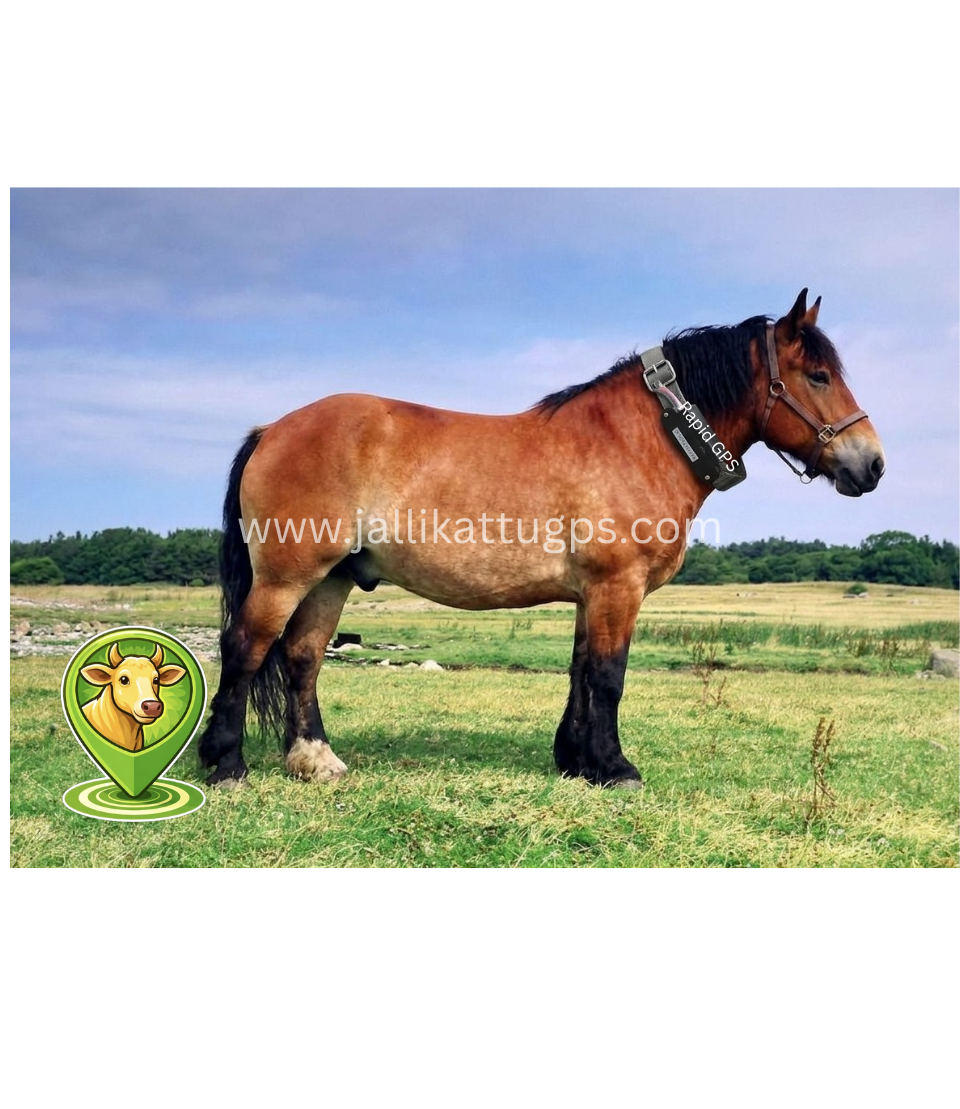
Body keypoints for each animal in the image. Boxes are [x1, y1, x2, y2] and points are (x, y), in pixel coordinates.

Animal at [198, 289, 884, 789]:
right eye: (818, 376)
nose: (872, 464)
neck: (644, 439)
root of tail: (273, 429)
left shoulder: (594, 595)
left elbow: (582, 671)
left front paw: (577, 761)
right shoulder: (617, 588)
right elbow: (609, 676)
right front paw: (615, 768)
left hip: (333, 577)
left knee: (302, 656)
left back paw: (316, 761)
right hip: (287, 575)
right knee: (245, 648)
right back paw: (227, 764)